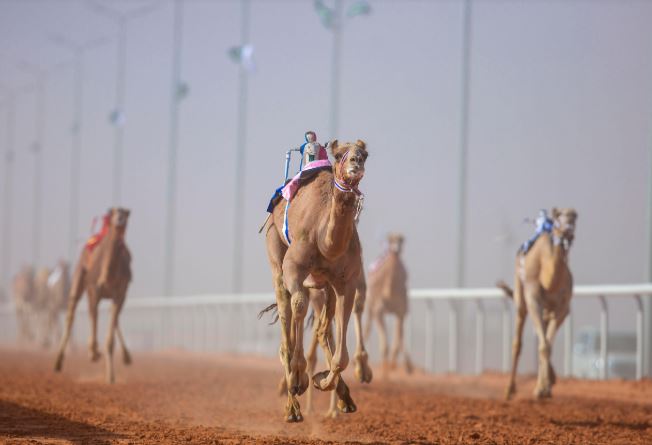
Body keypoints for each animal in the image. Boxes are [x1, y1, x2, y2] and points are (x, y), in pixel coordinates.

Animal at [55, 206, 134, 384]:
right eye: (114, 212)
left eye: (125, 213)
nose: (119, 220)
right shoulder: (93, 290)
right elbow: (93, 316)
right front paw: (93, 352)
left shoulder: (120, 292)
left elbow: (110, 336)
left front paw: (110, 376)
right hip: (79, 276)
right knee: (71, 312)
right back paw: (58, 362)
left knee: (114, 318)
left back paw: (126, 357)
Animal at [264, 138, 366, 420]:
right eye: (340, 155)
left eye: (364, 154)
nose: (356, 162)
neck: (325, 240)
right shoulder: (294, 268)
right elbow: (298, 304)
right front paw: (299, 378)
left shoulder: (346, 282)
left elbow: (341, 356)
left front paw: (322, 379)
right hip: (274, 246)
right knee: (287, 313)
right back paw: (292, 406)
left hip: (324, 285)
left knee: (321, 329)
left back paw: (343, 397)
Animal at [366, 232, 412, 374]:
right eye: (390, 239)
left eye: (401, 240)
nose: (395, 250)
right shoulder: (378, 311)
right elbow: (385, 346)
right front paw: (385, 372)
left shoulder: (401, 311)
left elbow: (396, 340)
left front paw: (393, 365)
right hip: (370, 305)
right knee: (367, 327)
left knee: (400, 336)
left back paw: (408, 366)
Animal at [496, 207, 580, 398]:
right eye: (558, 218)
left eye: (574, 219)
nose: (568, 232)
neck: (549, 279)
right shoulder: (533, 298)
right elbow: (543, 345)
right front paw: (542, 388)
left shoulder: (563, 309)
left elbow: (547, 344)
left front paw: (544, 387)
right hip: (521, 296)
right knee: (518, 342)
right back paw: (509, 389)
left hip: (548, 310)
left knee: (544, 338)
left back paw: (550, 378)